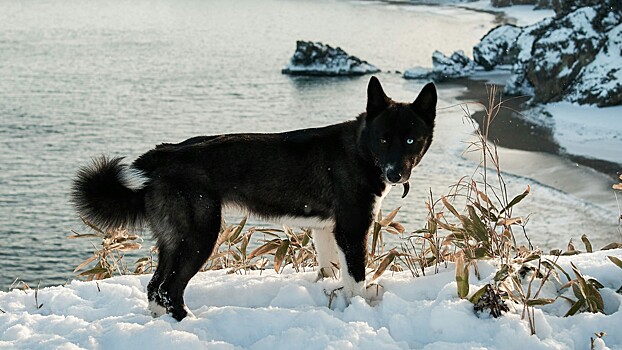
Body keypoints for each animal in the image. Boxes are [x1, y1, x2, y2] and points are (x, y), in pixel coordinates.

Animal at [70, 76, 436, 320]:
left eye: (410, 139)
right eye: (384, 139)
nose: (396, 174)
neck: (360, 149)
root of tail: (162, 157)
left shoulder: (325, 230)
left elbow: (331, 271)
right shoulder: (352, 229)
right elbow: (356, 278)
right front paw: (359, 312)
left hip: (175, 239)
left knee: (155, 287)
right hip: (200, 235)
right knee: (168, 289)